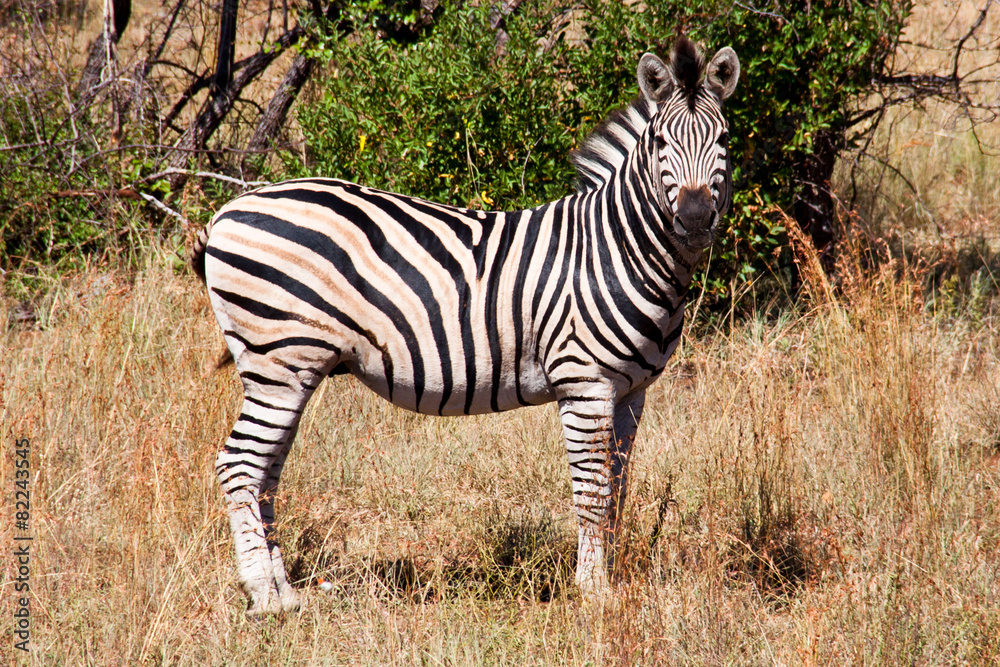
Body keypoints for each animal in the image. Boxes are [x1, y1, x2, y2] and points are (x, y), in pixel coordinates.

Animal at [193, 36, 739, 614]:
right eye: (660, 141)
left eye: (724, 138)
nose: (696, 219)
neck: (616, 248)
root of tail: (228, 209)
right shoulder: (584, 382)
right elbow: (593, 493)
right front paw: (594, 595)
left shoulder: (633, 391)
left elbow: (619, 489)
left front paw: (607, 580)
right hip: (278, 358)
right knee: (239, 465)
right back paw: (264, 596)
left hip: (289, 370)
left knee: (266, 470)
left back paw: (286, 593)